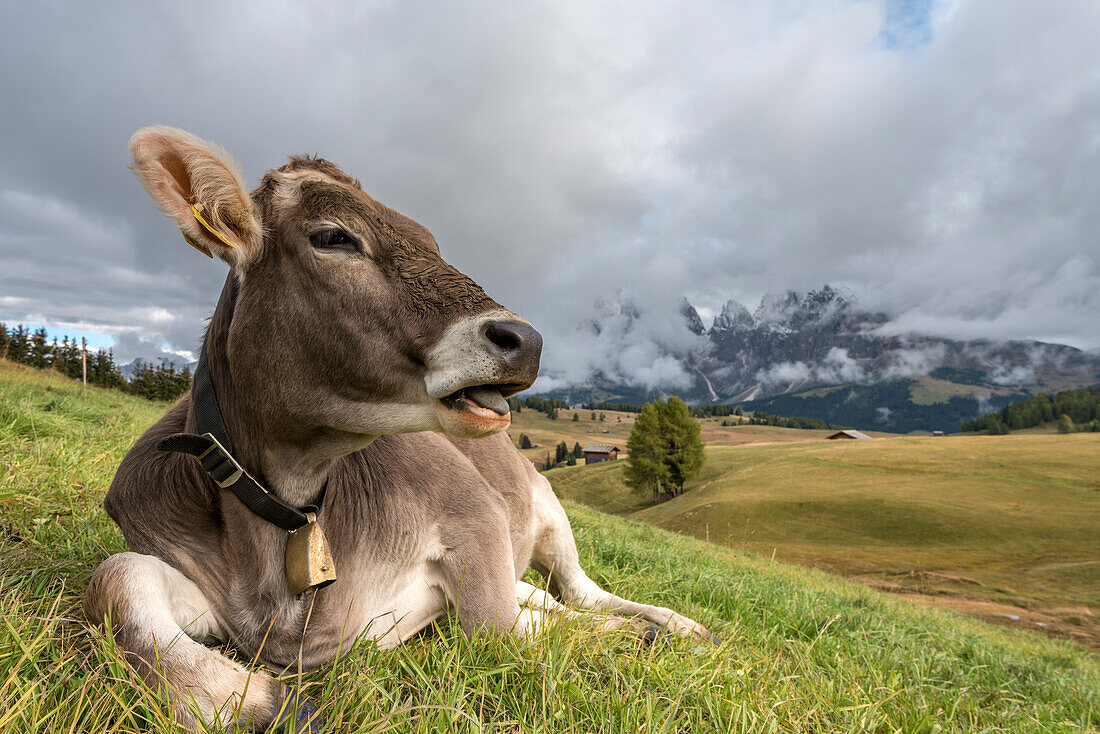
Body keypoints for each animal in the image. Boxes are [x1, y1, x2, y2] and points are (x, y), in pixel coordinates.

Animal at [81, 126, 708, 730]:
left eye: (430, 240)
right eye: (335, 237)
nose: (526, 342)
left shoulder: (475, 512)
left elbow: (497, 630)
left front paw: (638, 634)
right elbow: (115, 578)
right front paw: (244, 699)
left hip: (548, 508)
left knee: (581, 593)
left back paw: (677, 624)